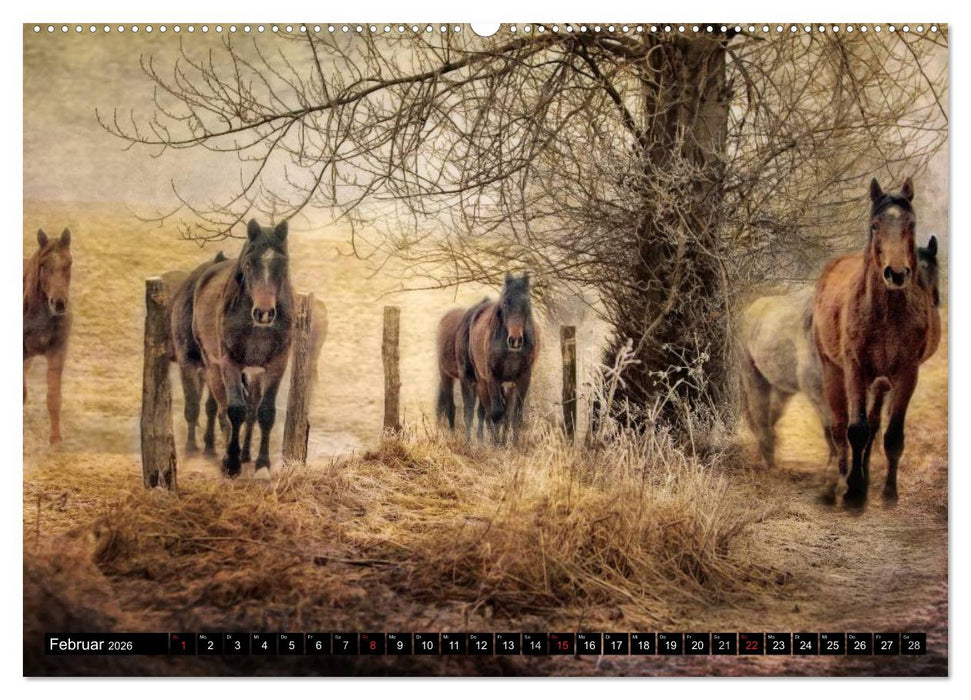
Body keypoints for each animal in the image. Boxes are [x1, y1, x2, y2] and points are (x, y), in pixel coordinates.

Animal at [191, 219, 293, 476]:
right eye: (249, 263)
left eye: (283, 264)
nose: (264, 313)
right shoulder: (230, 362)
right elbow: (235, 410)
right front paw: (232, 463)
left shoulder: (277, 363)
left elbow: (265, 412)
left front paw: (262, 465)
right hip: (213, 366)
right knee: (222, 408)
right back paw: (230, 456)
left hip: (254, 373)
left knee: (252, 407)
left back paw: (246, 454)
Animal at [436, 298, 489, 440]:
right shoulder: (465, 379)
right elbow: (468, 412)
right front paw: (467, 440)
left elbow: (481, 412)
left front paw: (480, 439)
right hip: (445, 373)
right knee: (449, 405)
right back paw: (451, 433)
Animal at [467, 273, 539, 443]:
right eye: (506, 302)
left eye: (527, 302)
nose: (515, 340)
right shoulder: (493, 377)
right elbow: (495, 413)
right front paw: (496, 444)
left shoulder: (523, 378)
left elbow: (516, 416)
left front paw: (515, 444)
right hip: (483, 382)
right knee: (487, 413)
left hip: (509, 386)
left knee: (506, 414)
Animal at [812, 178, 936, 506]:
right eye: (875, 225)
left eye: (911, 223)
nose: (896, 273)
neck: (885, 313)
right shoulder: (855, 368)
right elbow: (856, 429)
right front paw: (853, 490)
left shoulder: (906, 373)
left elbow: (892, 436)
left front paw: (889, 491)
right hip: (833, 370)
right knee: (839, 425)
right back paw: (839, 477)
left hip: (880, 382)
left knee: (874, 423)